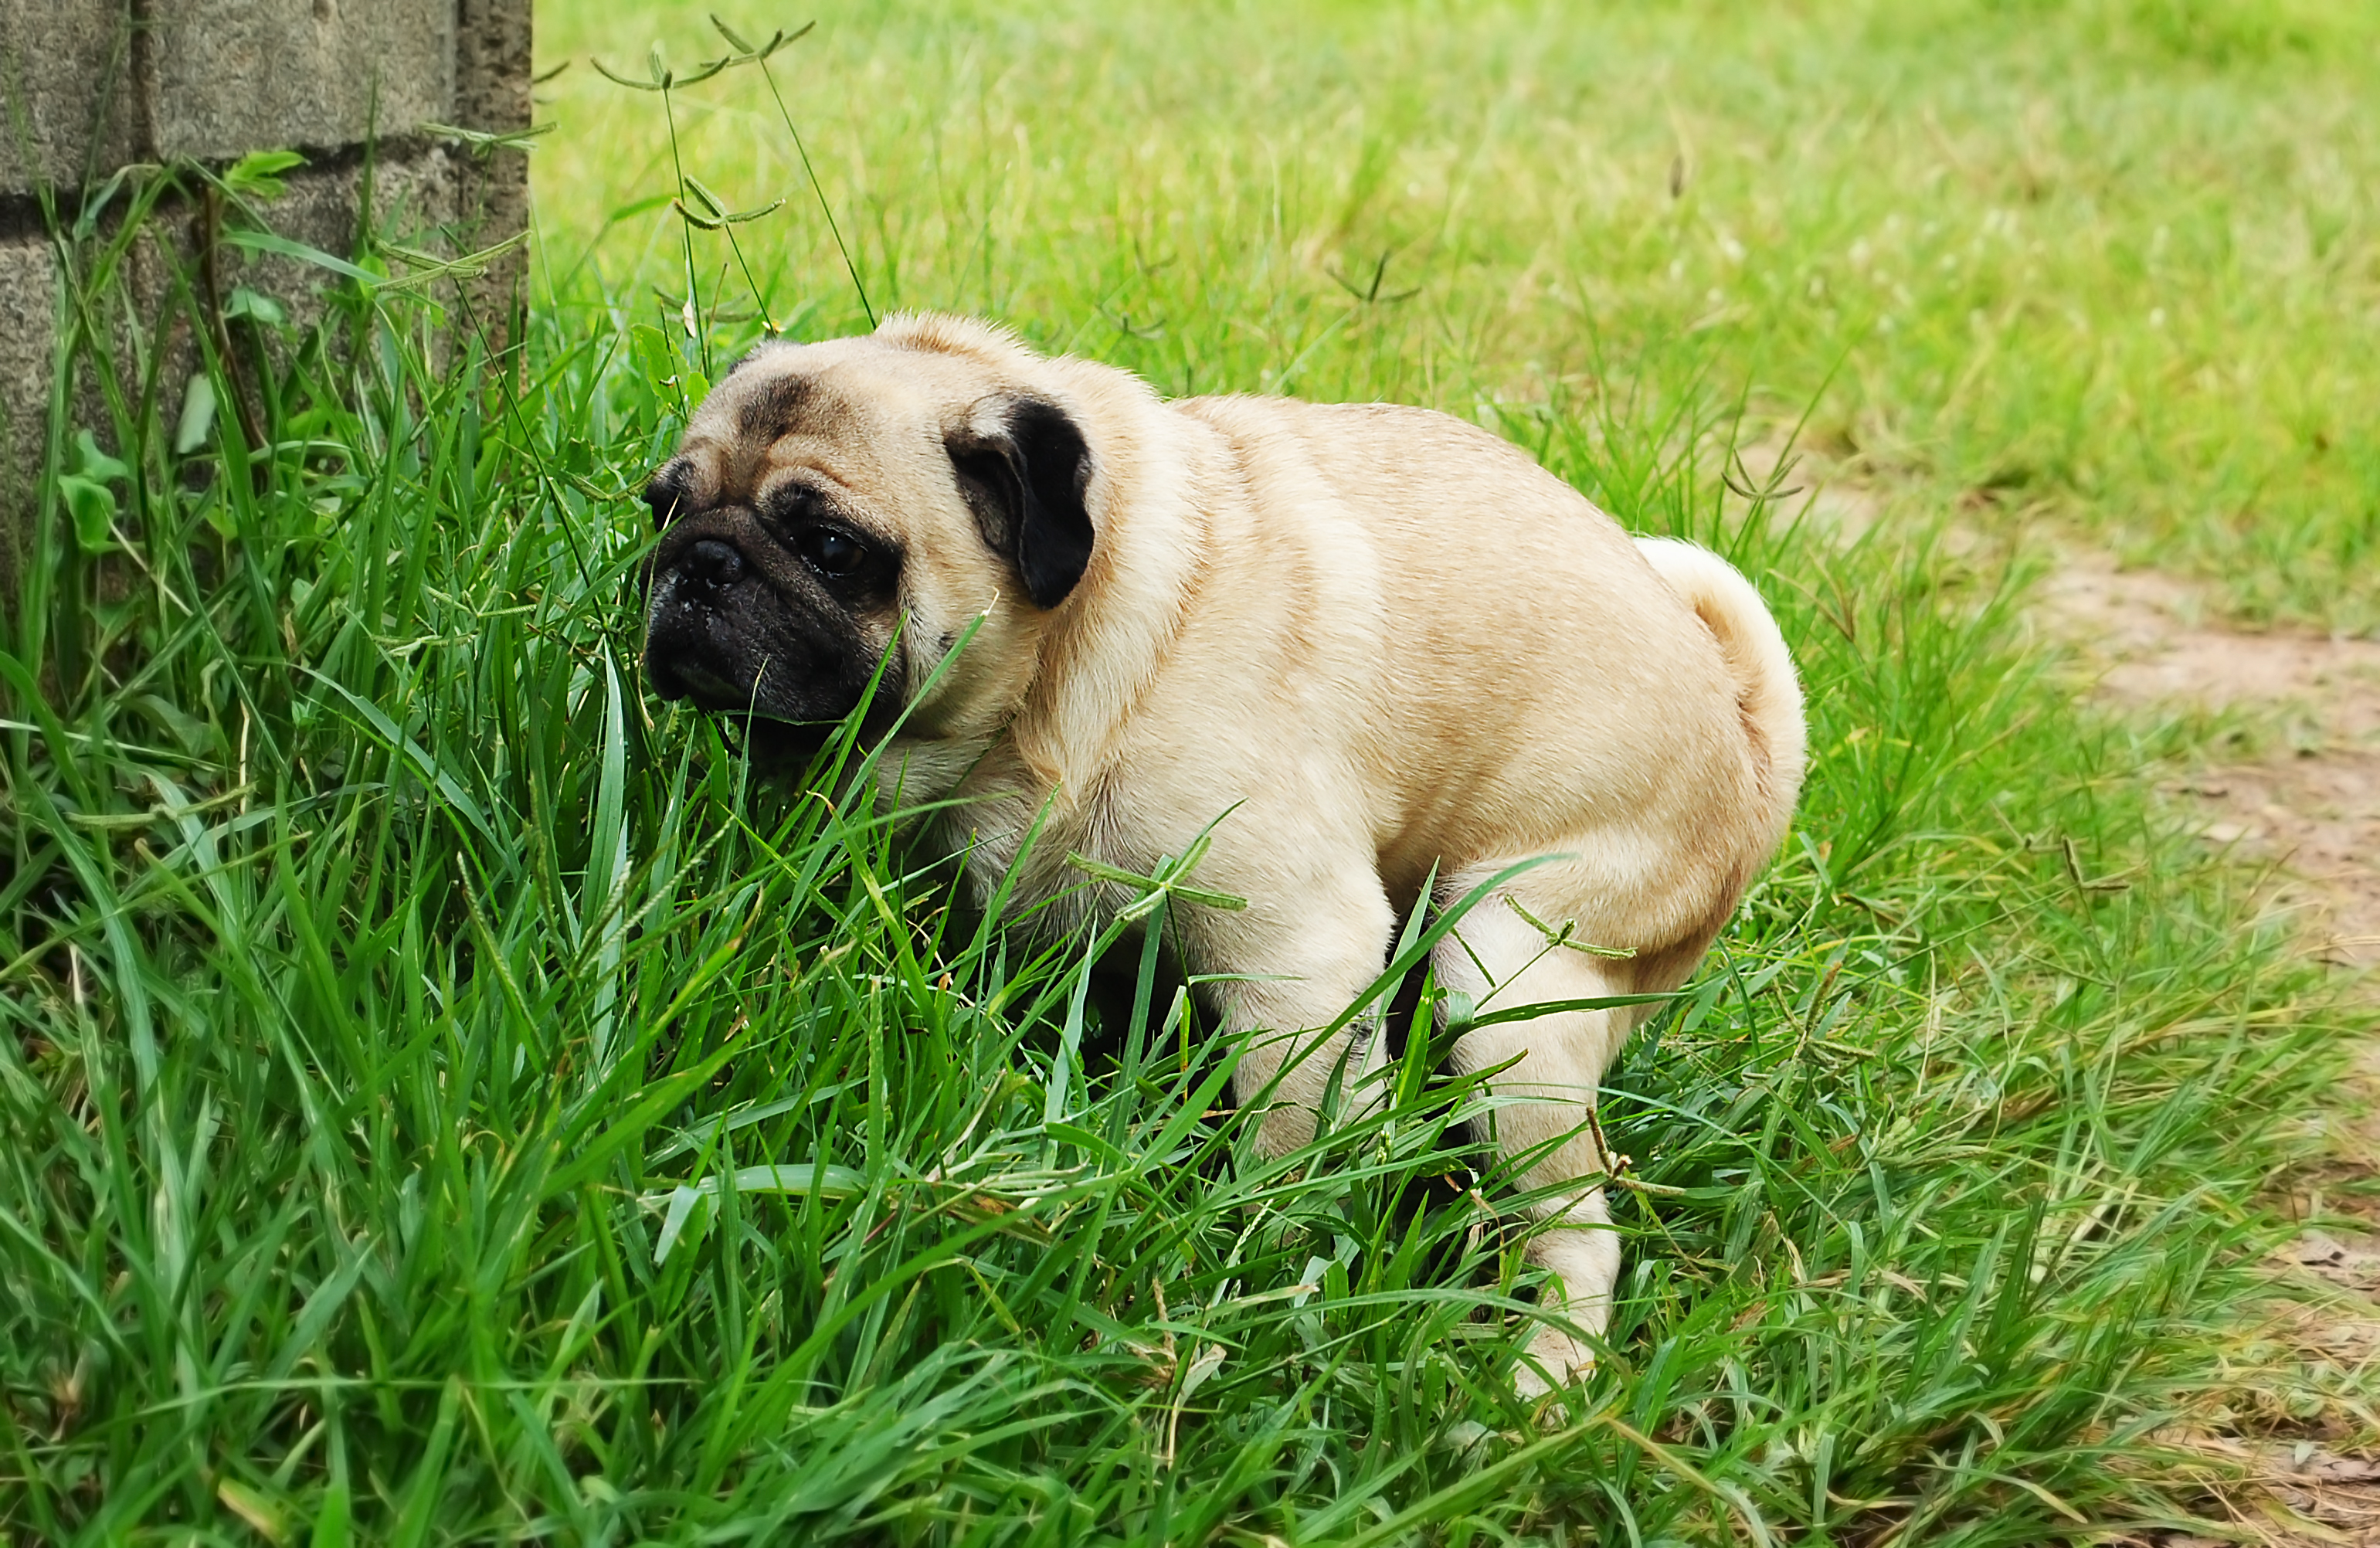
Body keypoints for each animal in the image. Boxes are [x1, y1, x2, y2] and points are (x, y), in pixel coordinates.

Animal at [637, 314, 1799, 1390]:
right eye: (663, 506)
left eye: (833, 548)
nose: (698, 565)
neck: (1063, 669)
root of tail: (1747, 743)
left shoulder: (1299, 957)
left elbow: (1288, 1139)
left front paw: (1266, 1273)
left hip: (1505, 977)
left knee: (1578, 1227)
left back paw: (1539, 1380)